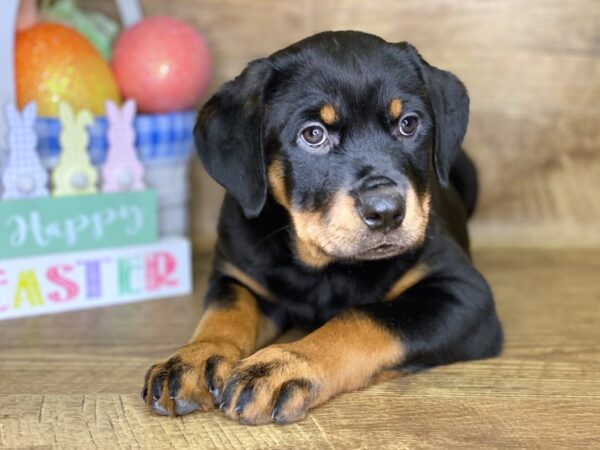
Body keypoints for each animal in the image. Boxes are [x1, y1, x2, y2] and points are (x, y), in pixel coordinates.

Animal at [141, 29, 502, 424]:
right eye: (313, 134)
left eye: (408, 124)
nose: (387, 211)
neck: (323, 266)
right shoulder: (237, 275)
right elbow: (225, 313)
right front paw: (193, 357)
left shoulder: (464, 292)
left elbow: (363, 318)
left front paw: (285, 365)